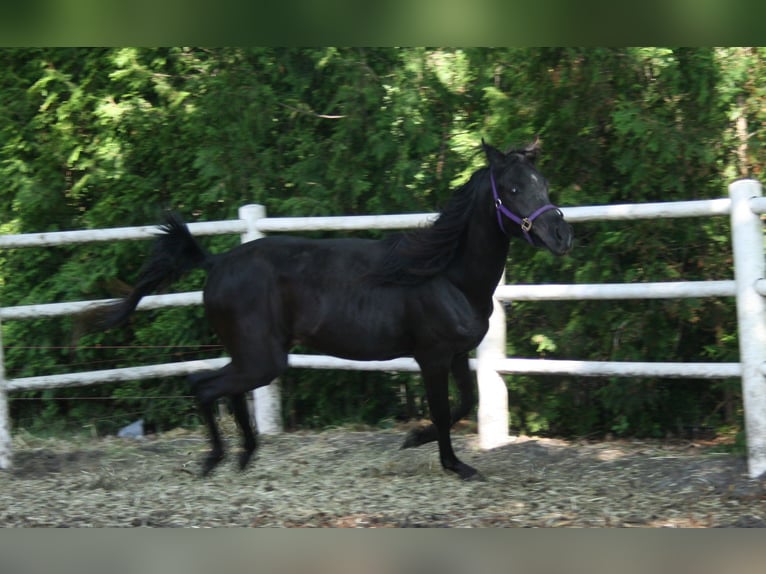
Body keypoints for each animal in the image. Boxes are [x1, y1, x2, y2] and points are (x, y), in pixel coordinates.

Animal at [88, 141, 568, 482]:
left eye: (543, 183)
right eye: (512, 189)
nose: (562, 236)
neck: (446, 274)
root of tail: (216, 262)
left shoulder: (455, 354)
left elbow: (464, 402)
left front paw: (415, 438)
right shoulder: (430, 356)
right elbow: (441, 409)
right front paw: (452, 463)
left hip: (254, 356)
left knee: (222, 389)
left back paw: (244, 456)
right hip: (262, 359)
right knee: (203, 386)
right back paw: (216, 460)